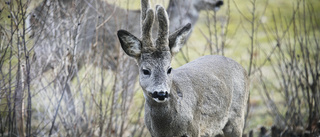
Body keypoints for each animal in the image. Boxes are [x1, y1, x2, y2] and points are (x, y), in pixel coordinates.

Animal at [117, 0, 250, 136]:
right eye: (145, 71)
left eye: (169, 69)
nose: (161, 93)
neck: (167, 129)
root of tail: (242, 68)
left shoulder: (194, 129)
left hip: (237, 117)